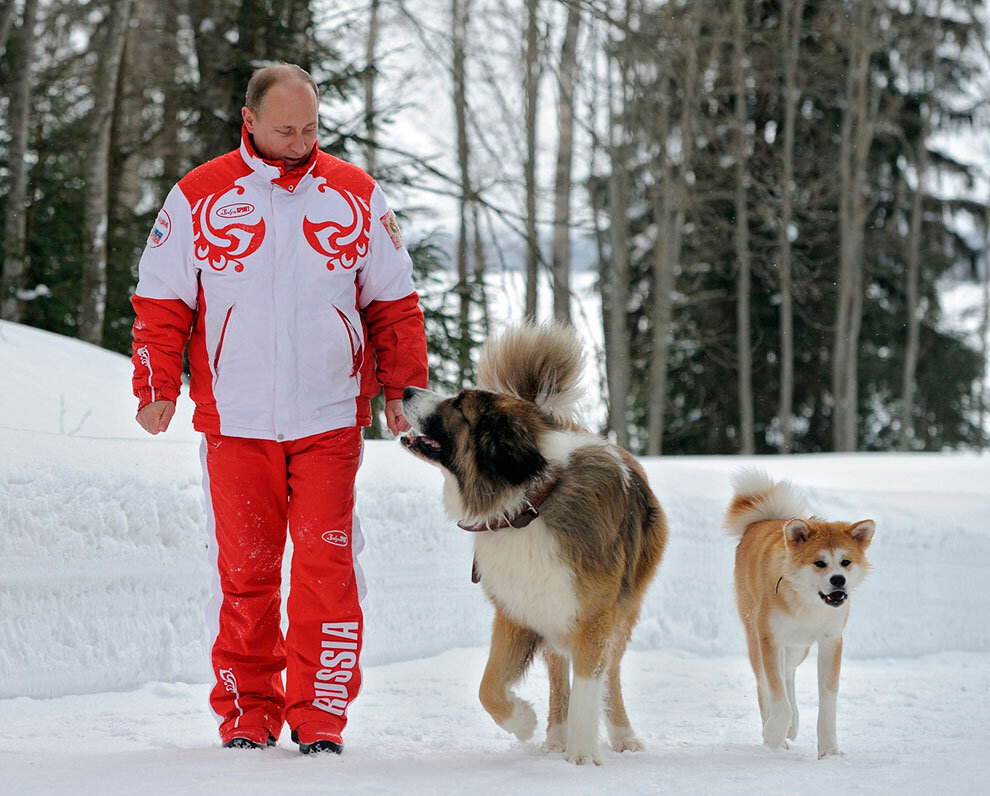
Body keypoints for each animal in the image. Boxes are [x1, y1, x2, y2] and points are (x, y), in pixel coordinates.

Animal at [402, 324, 668, 764]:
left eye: (458, 405)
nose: (406, 390)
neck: (531, 503)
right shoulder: (516, 611)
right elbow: (488, 685)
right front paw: (523, 721)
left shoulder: (594, 615)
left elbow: (590, 686)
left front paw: (583, 754)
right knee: (560, 673)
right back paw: (555, 735)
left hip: (623, 606)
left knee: (610, 674)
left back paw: (621, 735)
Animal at [728, 470, 876, 756]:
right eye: (819, 563)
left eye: (845, 562)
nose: (839, 580)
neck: (808, 606)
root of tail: (762, 521)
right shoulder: (770, 640)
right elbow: (777, 697)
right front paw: (773, 735)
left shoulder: (831, 642)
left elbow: (828, 699)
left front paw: (829, 750)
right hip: (756, 637)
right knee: (765, 686)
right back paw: (778, 732)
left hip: (799, 647)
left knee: (788, 673)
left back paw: (793, 725)